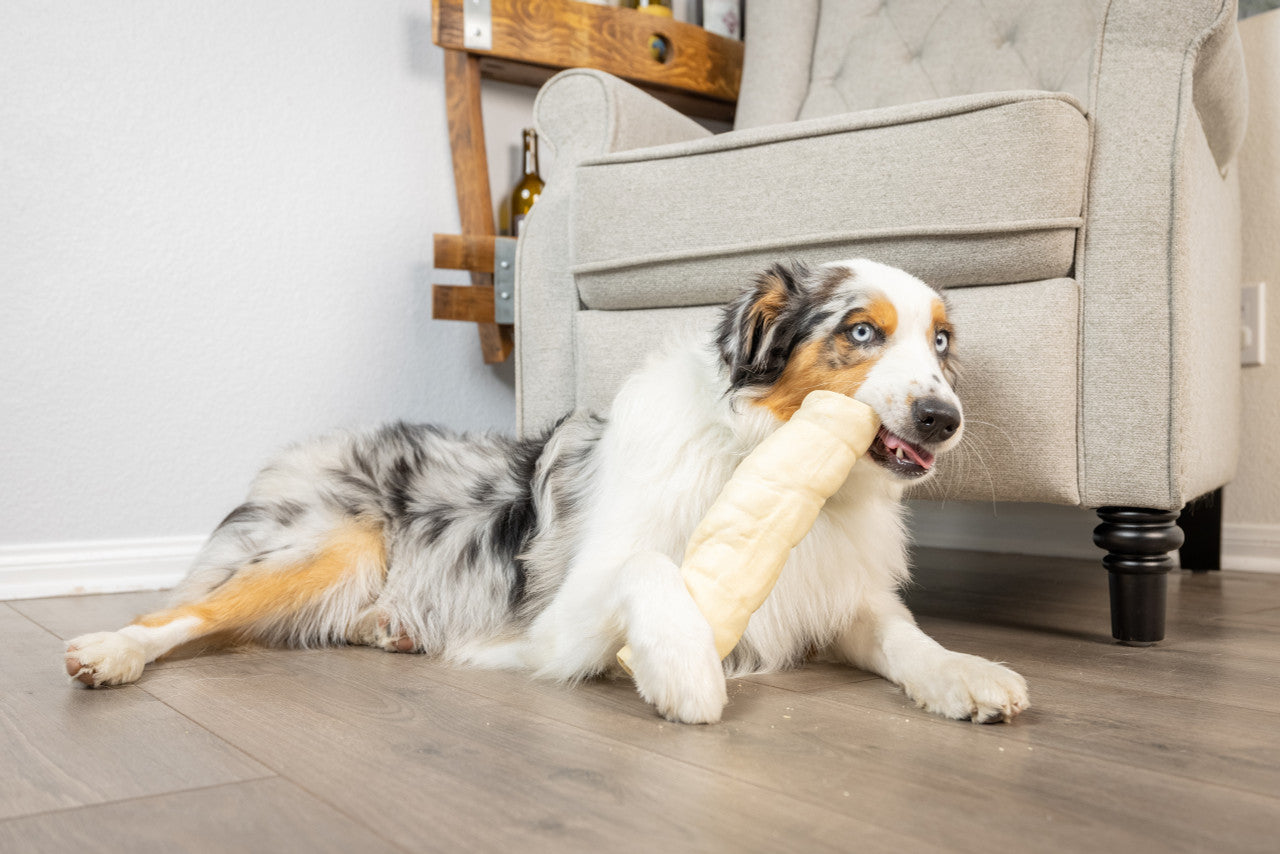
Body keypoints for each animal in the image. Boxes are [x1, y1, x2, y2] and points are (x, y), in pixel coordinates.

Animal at [67, 258, 1029, 722]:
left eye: (942, 342)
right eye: (861, 331)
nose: (944, 418)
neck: (760, 456)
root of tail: (306, 448)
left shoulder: (836, 595)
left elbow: (907, 639)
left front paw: (968, 675)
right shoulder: (566, 617)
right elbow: (648, 570)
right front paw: (683, 672)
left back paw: (391, 627)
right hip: (330, 545)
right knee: (179, 611)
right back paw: (110, 651)